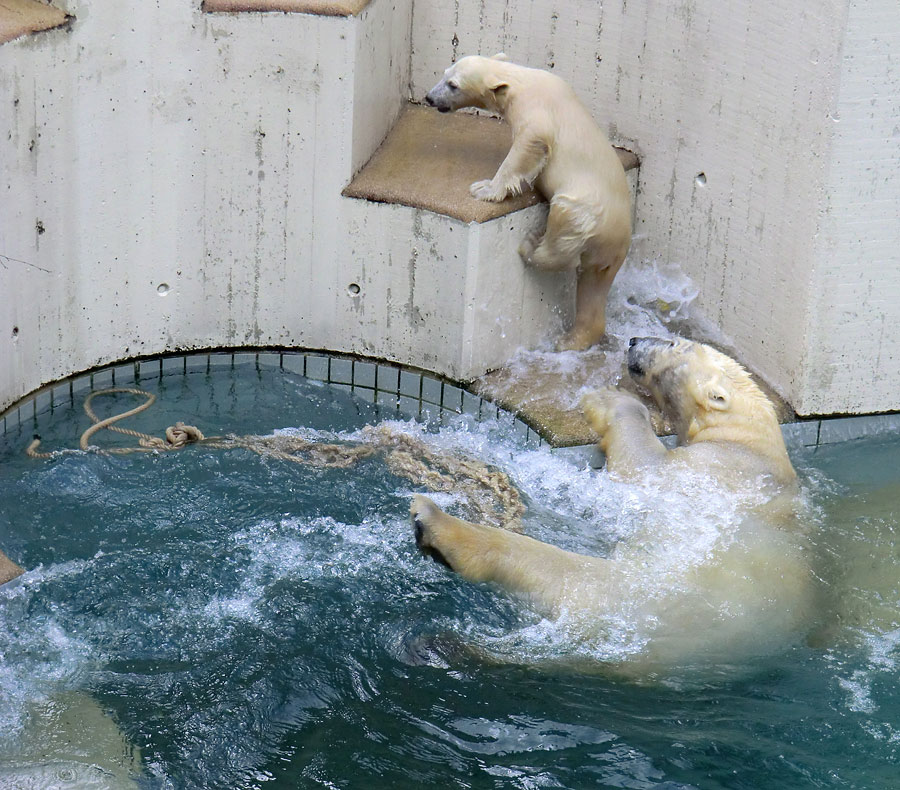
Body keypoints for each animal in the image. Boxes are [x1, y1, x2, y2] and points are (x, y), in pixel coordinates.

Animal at [412, 338, 820, 672]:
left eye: (676, 342)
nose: (635, 340)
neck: (752, 444)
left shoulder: (708, 472)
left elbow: (643, 464)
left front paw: (606, 397)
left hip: (640, 592)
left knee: (560, 571)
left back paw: (436, 525)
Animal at [426, 54, 628, 352]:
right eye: (444, 73)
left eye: (453, 85)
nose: (429, 97)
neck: (521, 82)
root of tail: (619, 237)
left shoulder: (536, 115)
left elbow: (526, 149)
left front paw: (485, 188)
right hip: (607, 256)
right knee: (593, 284)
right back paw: (573, 339)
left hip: (585, 209)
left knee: (563, 227)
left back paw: (531, 246)